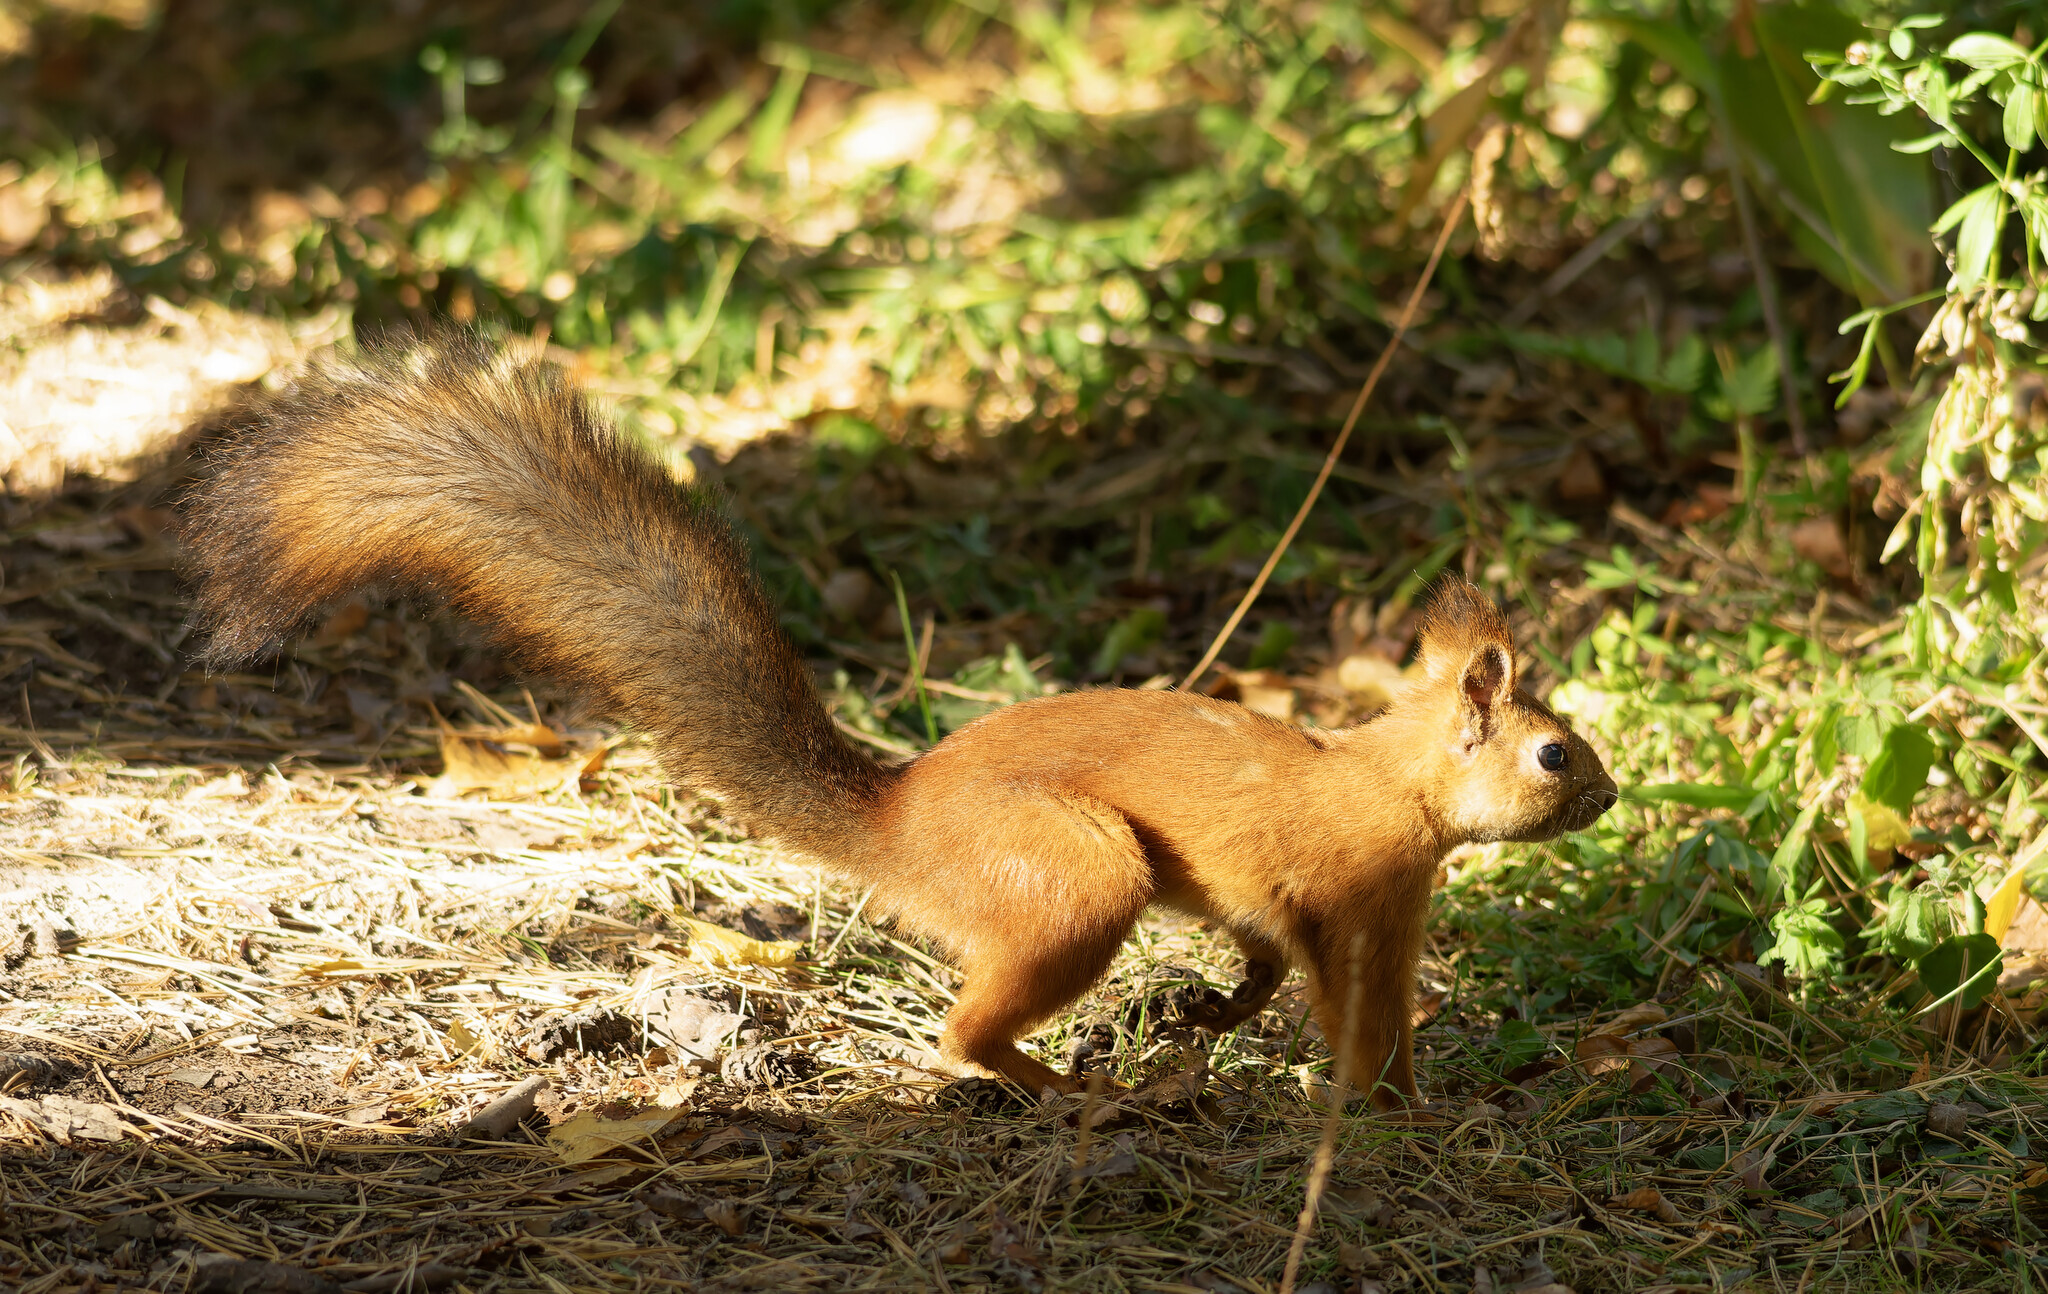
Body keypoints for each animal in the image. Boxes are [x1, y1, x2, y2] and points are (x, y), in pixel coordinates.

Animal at [184, 331, 1613, 1105]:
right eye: (1552, 751)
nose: (1605, 798)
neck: (1389, 789)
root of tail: (896, 818)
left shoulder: (1339, 908)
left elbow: (1305, 980)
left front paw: (1258, 1035)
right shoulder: (1338, 895)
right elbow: (1341, 1002)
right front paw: (1370, 1103)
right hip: (1074, 874)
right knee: (963, 1031)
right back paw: (1066, 1090)